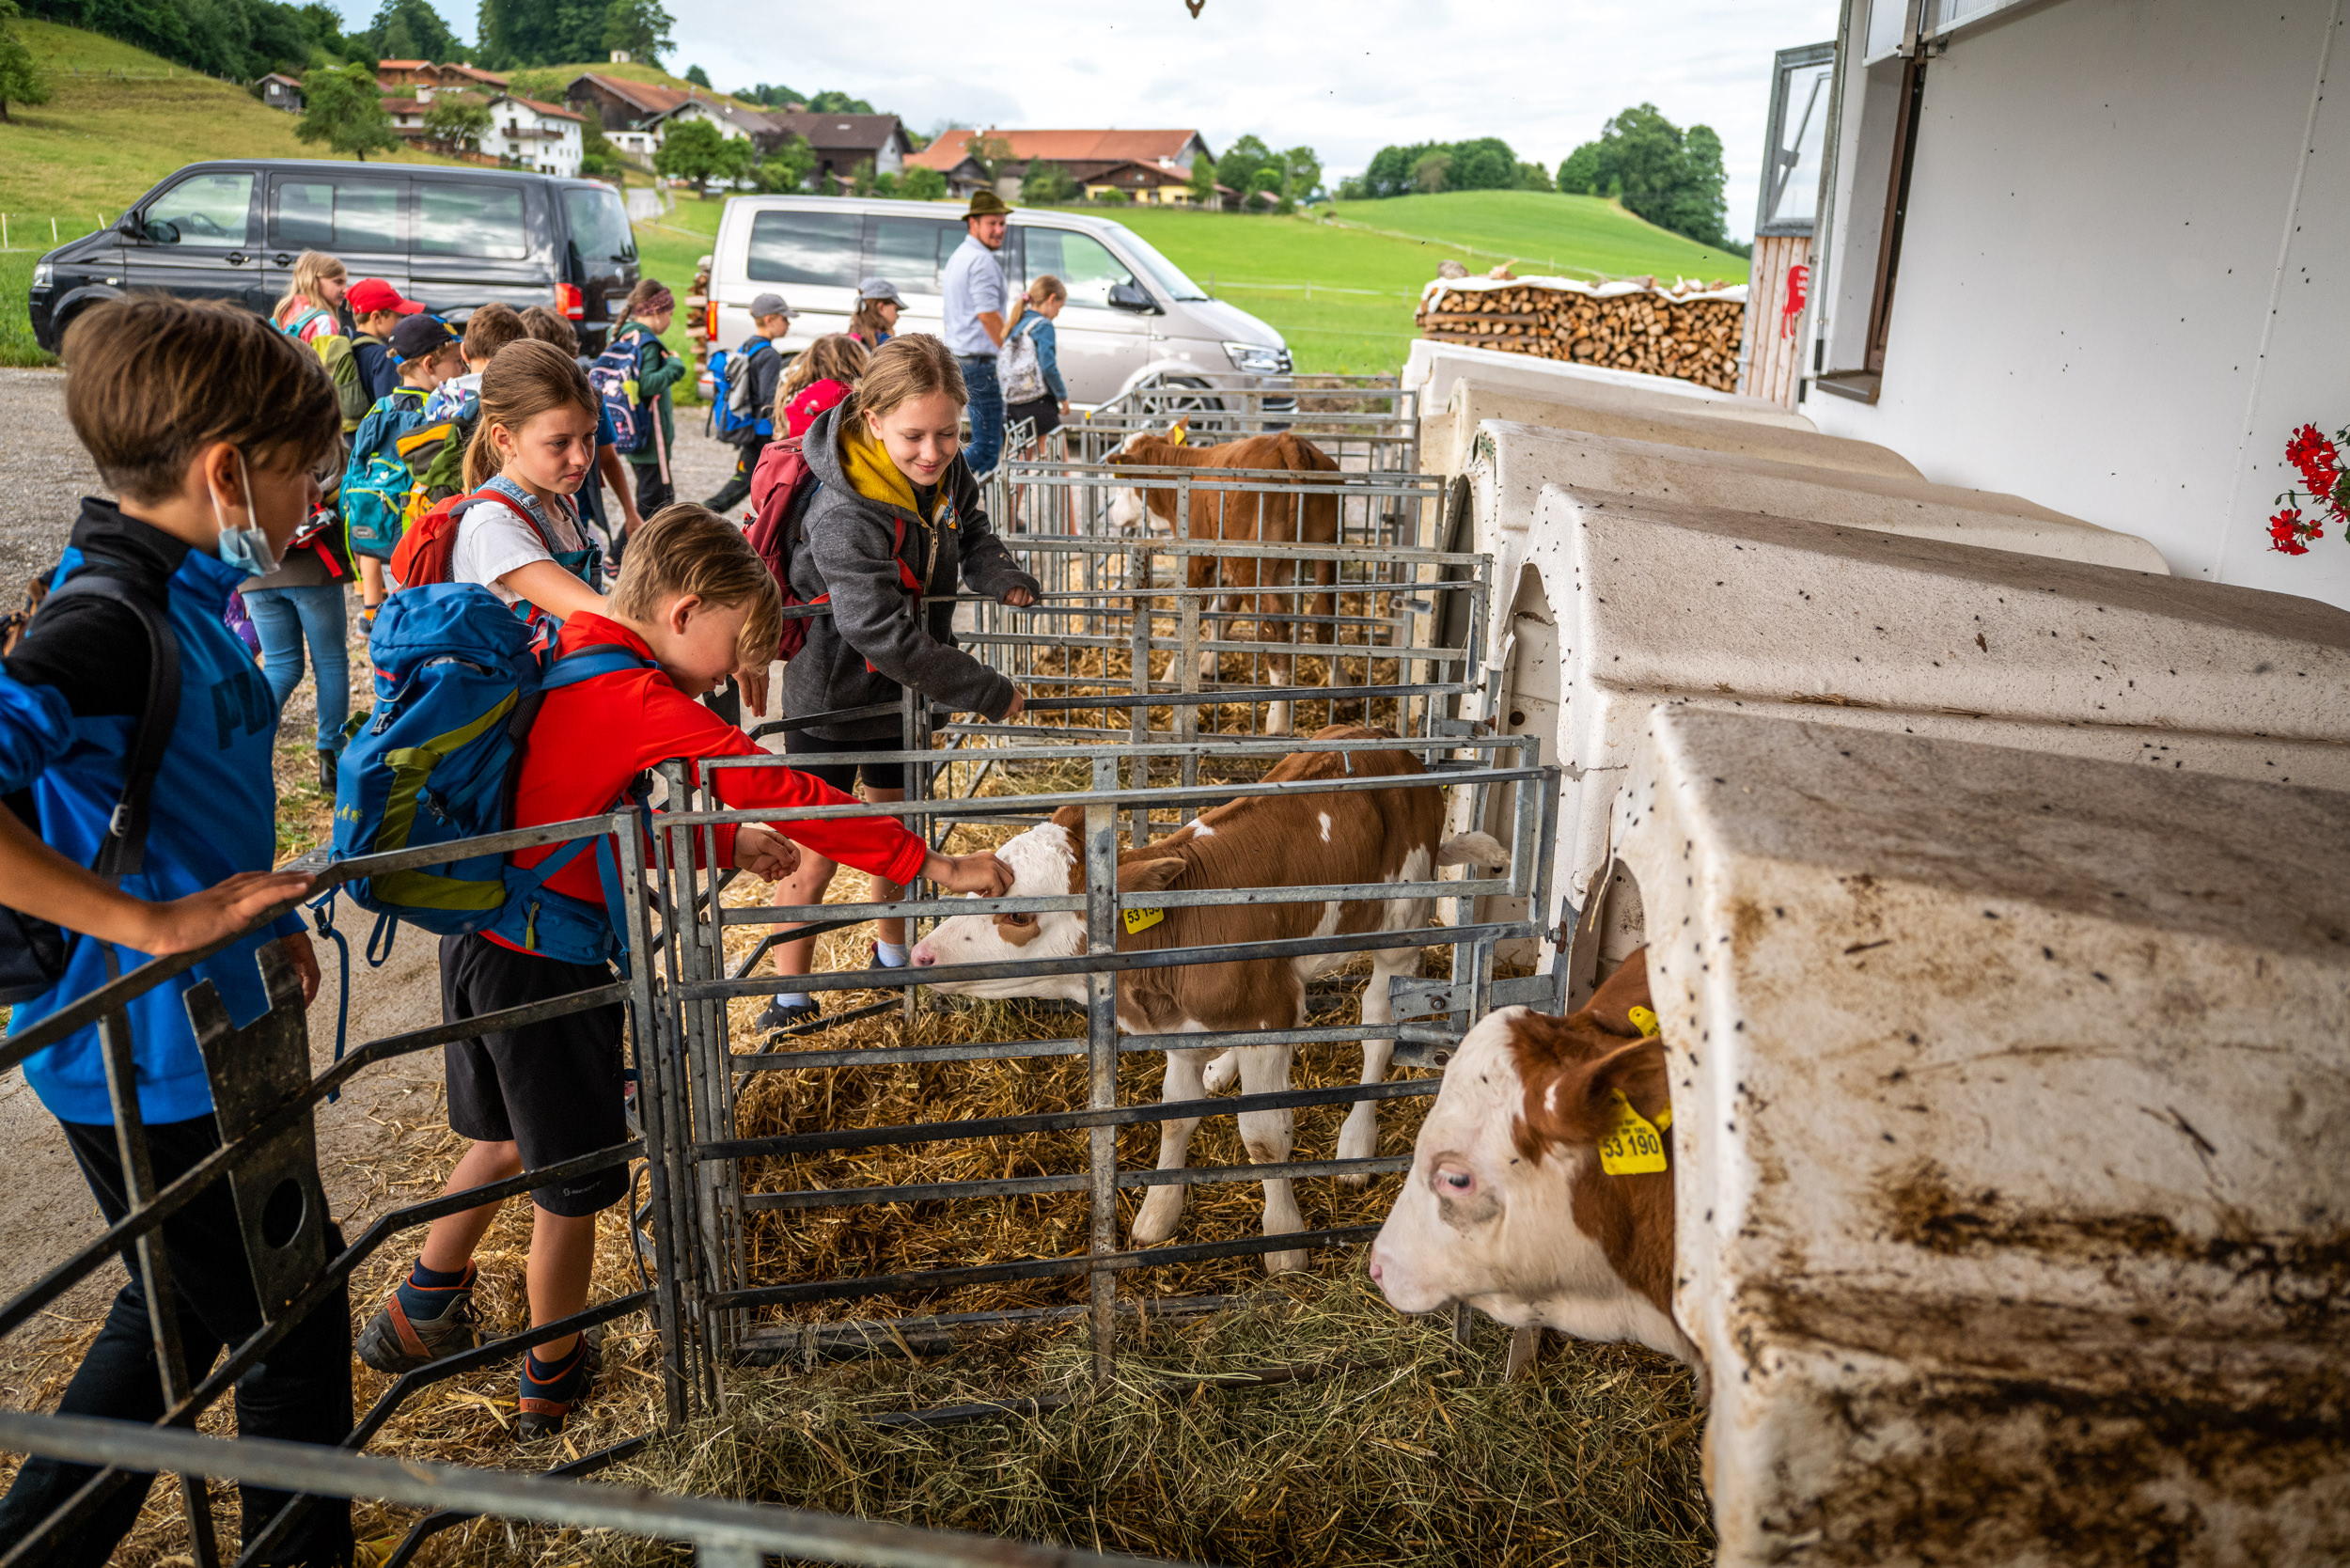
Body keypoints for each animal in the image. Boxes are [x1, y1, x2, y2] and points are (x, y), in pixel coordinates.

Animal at [909, 725, 1506, 1273]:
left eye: (1017, 915)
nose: (921, 953)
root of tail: (1383, 738)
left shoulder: (1268, 1019)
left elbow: (1265, 1139)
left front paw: (1284, 1240)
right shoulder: (1186, 1027)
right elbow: (1176, 1116)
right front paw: (1157, 1213)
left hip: (1399, 930)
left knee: (1378, 1030)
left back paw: (1357, 1146)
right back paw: (1224, 1071)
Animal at [1103, 419, 1342, 736]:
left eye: (1123, 480)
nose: (1114, 515)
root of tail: (1287, 441)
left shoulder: (1199, 561)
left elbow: (1192, 616)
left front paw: (1174, 673)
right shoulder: (1231, 566)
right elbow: (1224, 613)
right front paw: (1205, 666)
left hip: (1256, 566)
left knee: (1276, 629)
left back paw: (1278, 720)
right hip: (1325, 553)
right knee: (1324, 615)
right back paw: (1343, 689)